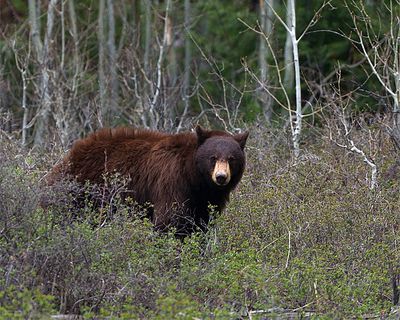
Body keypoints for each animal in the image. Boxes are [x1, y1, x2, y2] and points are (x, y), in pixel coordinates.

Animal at [48, 126, 248, 236]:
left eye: (231, 158)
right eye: (213, 157)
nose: (221, 177)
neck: (194, 177)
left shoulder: (203, 200)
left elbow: (201, 223)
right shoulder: (172, 182)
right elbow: (169, 221)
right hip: (81, 192)